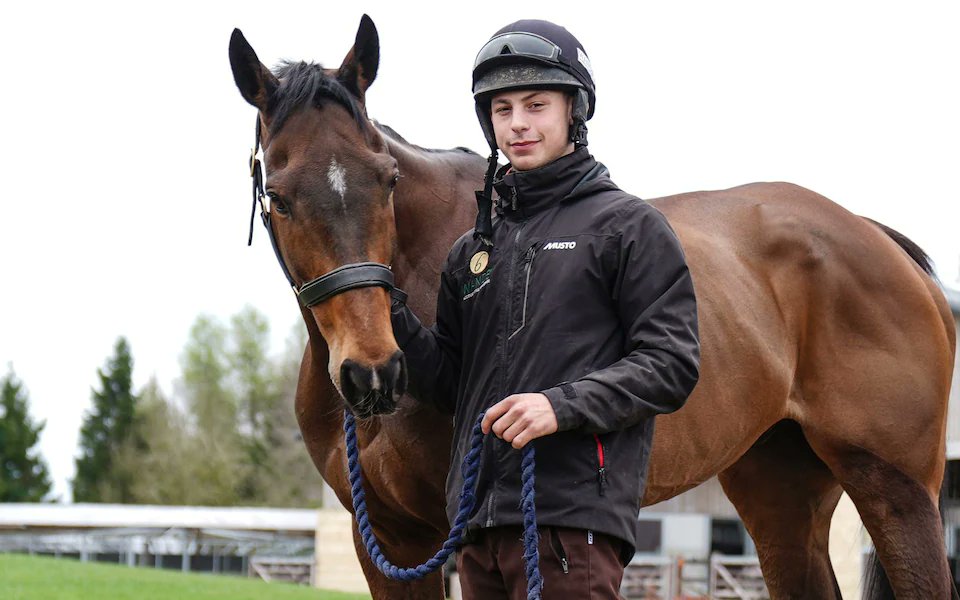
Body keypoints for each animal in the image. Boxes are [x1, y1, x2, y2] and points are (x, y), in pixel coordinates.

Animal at [229, 15, 957, 600]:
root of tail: (875, 237)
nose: (376, 372)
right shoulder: (387, 538)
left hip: (898, 492)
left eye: (387, 179)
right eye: (280, 197)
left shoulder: (452, 536)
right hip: (781, 493)